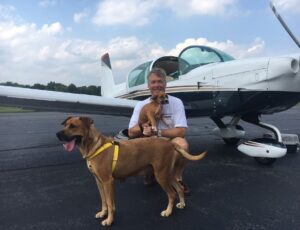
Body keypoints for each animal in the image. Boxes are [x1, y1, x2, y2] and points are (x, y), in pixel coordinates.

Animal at [55, 117, 206, 226]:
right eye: (65, 125)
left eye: (73, 126)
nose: (57, 134)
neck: (94, 145)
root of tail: (170, 143)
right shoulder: (99, 181)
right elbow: (104, 200)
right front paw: (103, 213)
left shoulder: (107, 181)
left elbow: (109, 202)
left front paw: (109, 220)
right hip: (168, 174)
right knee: (179, 188)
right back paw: (182, 203)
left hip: (161, 175)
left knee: (172, 193)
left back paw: (168, 211)